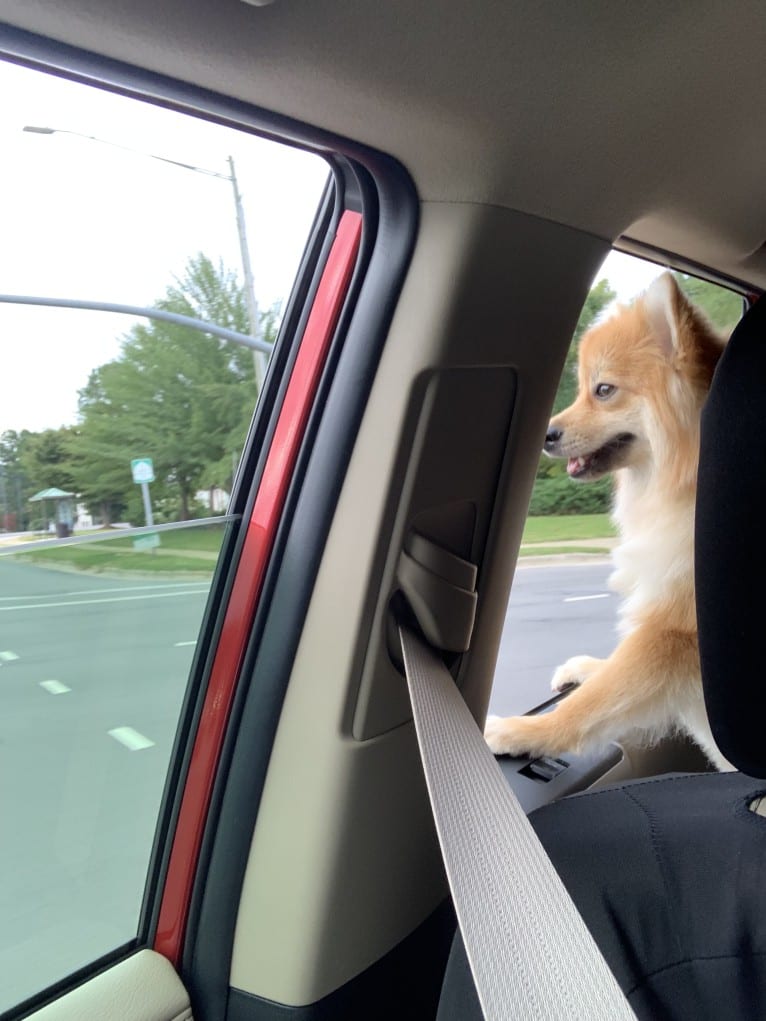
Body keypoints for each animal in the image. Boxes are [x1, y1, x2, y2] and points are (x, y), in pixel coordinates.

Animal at [486, 275, 731, 767]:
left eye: (603, 390)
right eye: (582, 389)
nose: (547, 434)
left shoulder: (671, 630)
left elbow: (595, 701)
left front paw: (524, 730)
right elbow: (609, 673)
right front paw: (587, 667)